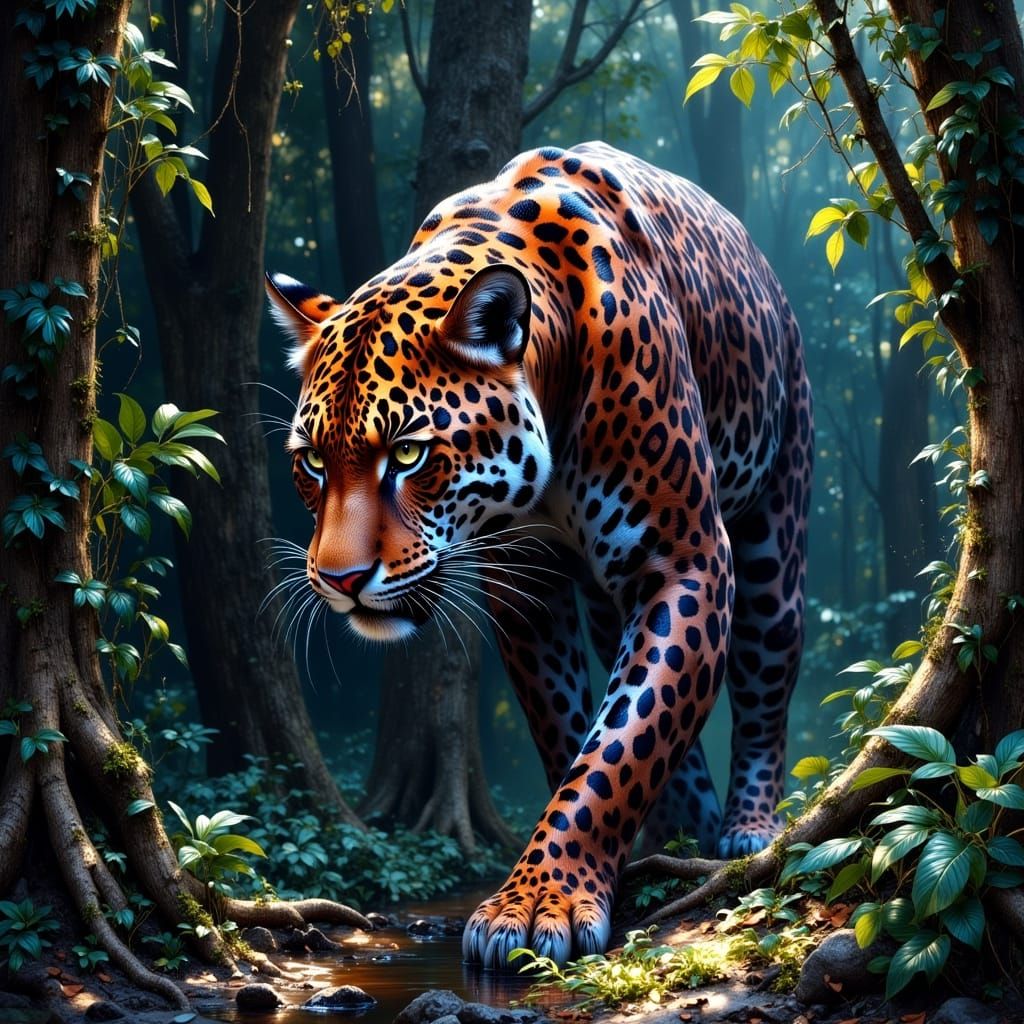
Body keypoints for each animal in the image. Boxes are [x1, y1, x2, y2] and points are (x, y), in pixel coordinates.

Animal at [266, 141, 813, 969]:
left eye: (409, 453)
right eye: (312, 463)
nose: (340, 580)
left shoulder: (684, 558)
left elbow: (623, 742)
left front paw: (539, 902)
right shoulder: (526, 591)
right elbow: (581, 734)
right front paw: (577, 879)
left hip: (774, 526)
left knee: (763, 684)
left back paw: (745, 829)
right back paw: (676, 835)